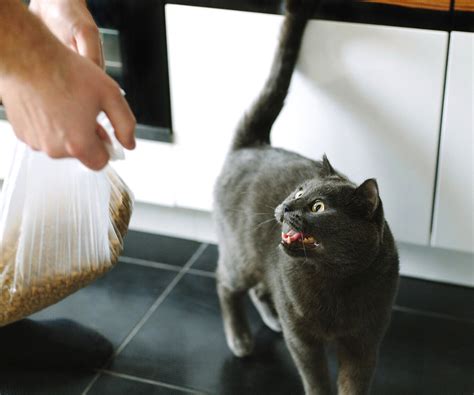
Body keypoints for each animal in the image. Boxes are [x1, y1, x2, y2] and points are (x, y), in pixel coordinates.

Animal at [215, 0, 400, 395]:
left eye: (318, 207)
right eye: (300, 190)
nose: (286, 207)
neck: (336, 281)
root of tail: (254, 144)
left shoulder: (365, 343)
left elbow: (353, 384)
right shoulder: (303, 341)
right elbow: (315, 379)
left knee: (259, 289)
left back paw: (272, 320)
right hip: (240, 255)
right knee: (225, 282)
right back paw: (240, 340)